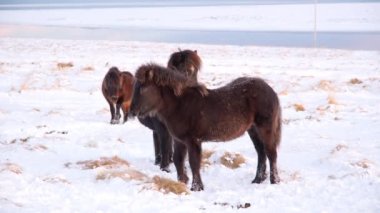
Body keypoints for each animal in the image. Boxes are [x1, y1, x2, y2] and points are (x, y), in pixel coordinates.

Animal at [131, 63, 282, 191]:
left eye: (143, 88)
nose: (132, 111)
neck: (181, 104)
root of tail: (271, 90)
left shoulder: (193, 141)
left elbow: (194, 162)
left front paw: (196, 187)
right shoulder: (179, 140)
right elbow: (178, 160)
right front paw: (182, 182)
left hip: (265, 128)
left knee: (271, 153)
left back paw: (274, 181)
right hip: (253, 130)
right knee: (261, 152)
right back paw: (257, 180)